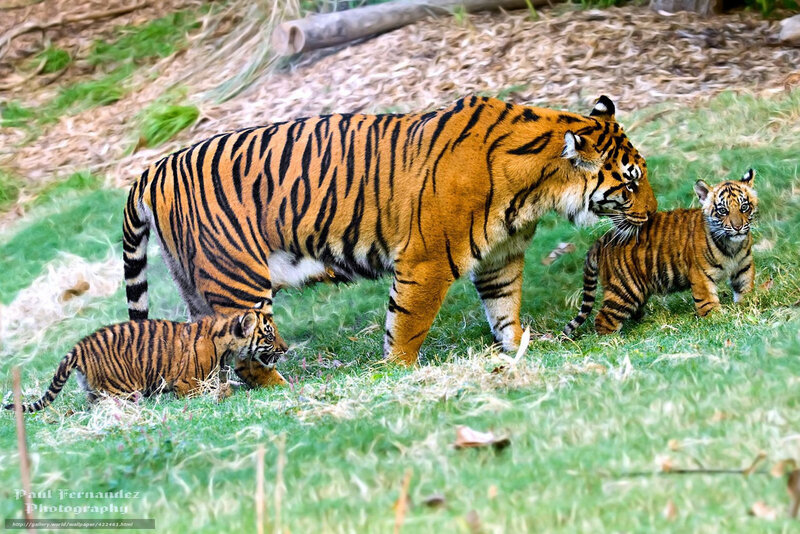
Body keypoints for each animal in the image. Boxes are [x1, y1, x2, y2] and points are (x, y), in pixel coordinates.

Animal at [3, 305, 287, 413]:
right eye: (269, 336)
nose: (285, 349)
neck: (226, 344)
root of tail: (79, 346)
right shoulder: (186, 384)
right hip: (122, 390)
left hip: (96, 391)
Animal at [122, 94, 656, 368]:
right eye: (631, 184)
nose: (651, 216)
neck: (536, 189)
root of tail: (153, 170)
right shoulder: (428, 261)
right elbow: (408, 323)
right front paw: (398, 370)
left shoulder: (500, 258)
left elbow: (505, 309)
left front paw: (520, 347)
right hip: (238, 280)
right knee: (246, 351)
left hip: (196, 285)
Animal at [563, 169, 757, 336]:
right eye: (723, 210)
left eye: (744, 207)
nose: (738, 227)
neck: (732, 246)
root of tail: (602, 239)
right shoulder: (701, 275)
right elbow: (707, 301)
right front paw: (718, 319)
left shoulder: (744, 266)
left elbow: (745, 289)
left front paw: (747, 305)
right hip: (625, 289)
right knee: (603, 319)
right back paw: (614, 340)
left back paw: (648, 323)